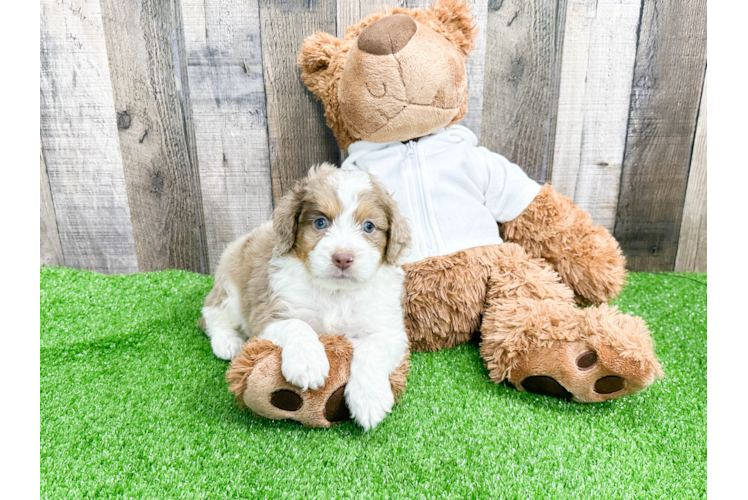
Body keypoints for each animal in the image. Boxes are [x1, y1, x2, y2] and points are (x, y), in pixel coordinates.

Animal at [200, 163, 410, 430]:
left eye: (369, 226)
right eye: (320, 223)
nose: (343, 258)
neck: (335, 293)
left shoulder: (389, 329)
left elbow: (373, 349)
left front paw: (369, 399)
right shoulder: (268, 313)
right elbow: (297, 325)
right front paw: (308, 364)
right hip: (230, 287)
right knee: (211, 315)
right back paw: (227, 342)